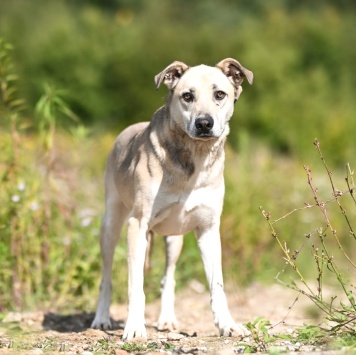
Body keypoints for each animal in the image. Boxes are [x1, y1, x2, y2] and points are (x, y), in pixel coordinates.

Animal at [92, 59, 253, 342]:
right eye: (187, 96)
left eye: (219, 94)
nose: (204, 123)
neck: (195, 157)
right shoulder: (137, 225)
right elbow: (135, 287)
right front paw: (134, 327)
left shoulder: (209, 229)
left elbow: (218, 285)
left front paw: (228, 325)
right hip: (111, 224)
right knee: (107, 276)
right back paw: (101, 318)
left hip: (174, 240)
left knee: (168, 277)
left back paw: (166, 319)